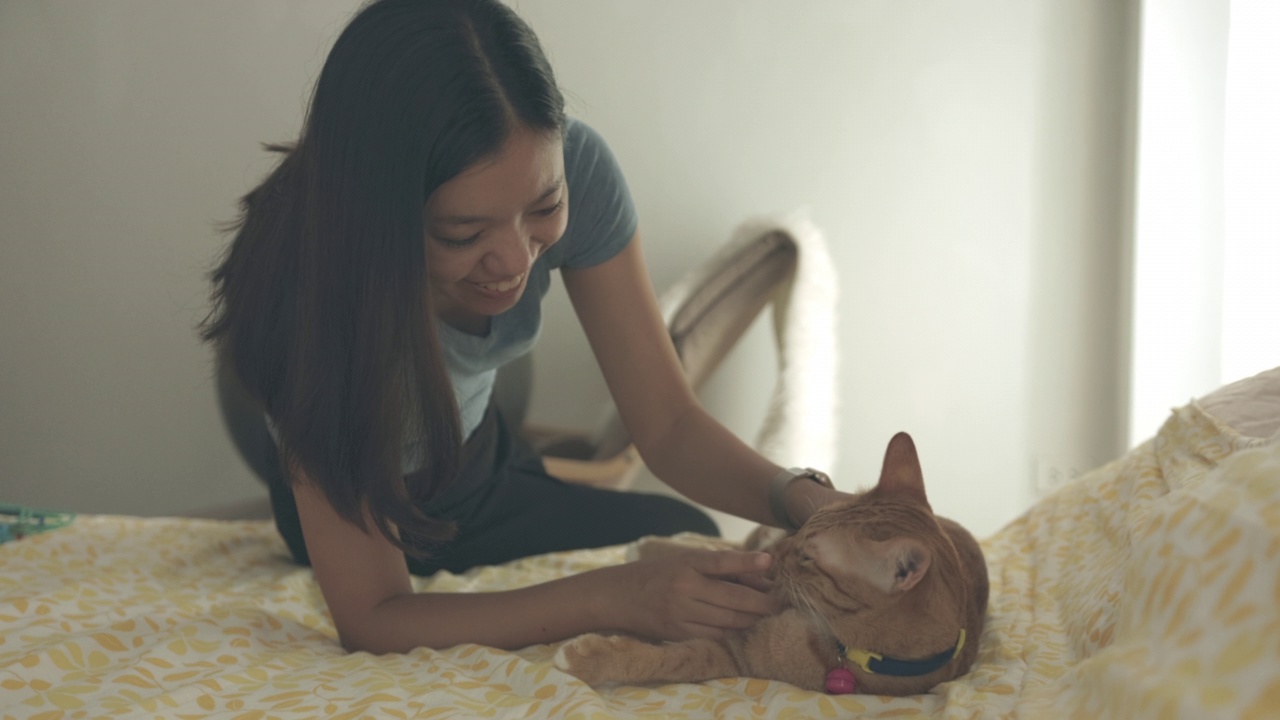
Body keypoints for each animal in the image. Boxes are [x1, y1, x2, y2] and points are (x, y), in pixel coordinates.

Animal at [552, 427, 988, 691]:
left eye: (808, 557)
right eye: (804, 526)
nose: (779, 553)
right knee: (721, 549)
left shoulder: (736, 656)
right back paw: (648, 546)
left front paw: (584, 660)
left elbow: (673, 661)